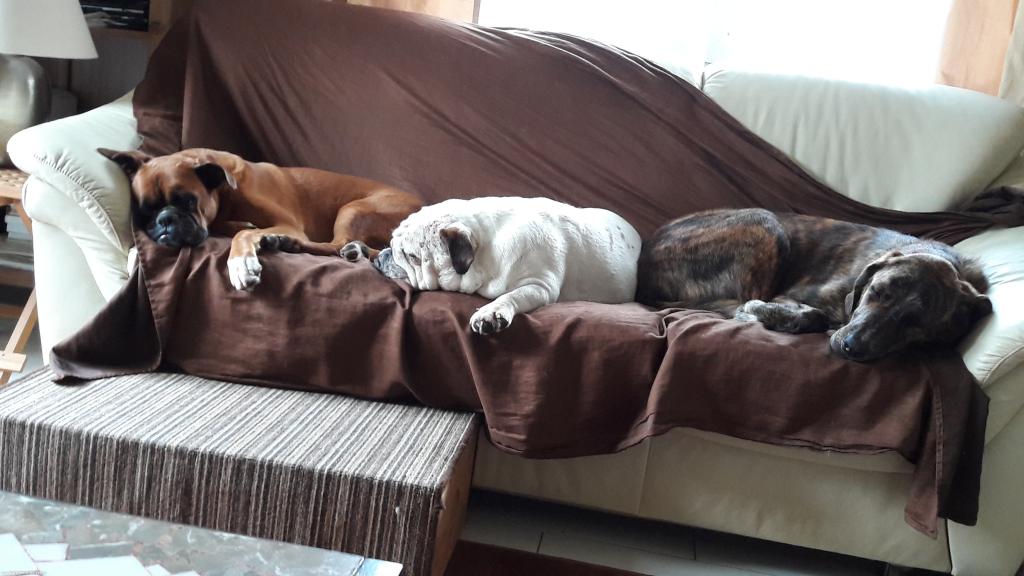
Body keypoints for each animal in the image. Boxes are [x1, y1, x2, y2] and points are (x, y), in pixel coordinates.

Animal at [98, 148, 422, 290]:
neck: (225, 190)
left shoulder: (290, 223)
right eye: (145, 210)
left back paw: (291, 244)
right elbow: (237, 227)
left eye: (188, 201)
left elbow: (243, 236)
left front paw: (240, 263)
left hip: (352, 210)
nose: (165, 220)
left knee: (336, 243)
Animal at [371, 196, 642, 335]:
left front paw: (491, 313)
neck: (485, 245)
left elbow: (511, 296)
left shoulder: (538, 285)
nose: (383, 255)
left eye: (410, 256)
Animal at [636, 208, 992, 361]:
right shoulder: (789, 296)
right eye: (876, 292)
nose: (851, 347)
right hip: (766, 224)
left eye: (915, 324)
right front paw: (770, 316)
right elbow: (811, 313)